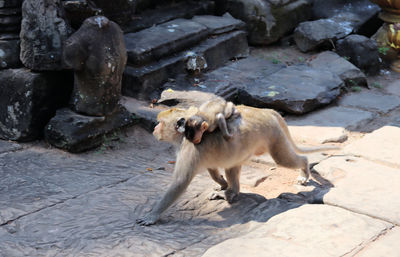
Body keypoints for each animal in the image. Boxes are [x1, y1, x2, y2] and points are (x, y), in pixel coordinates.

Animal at [138, 104, 338, 224]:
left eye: (160, 123)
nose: (154, 128)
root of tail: (265, 111)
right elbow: (213, 168)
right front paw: (221, 183)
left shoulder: (189, 148)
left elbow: (180, 182)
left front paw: (152, 215)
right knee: (232, 165)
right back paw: (231, 191)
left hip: (272, 134)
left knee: (283, 159)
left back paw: (304, 169)